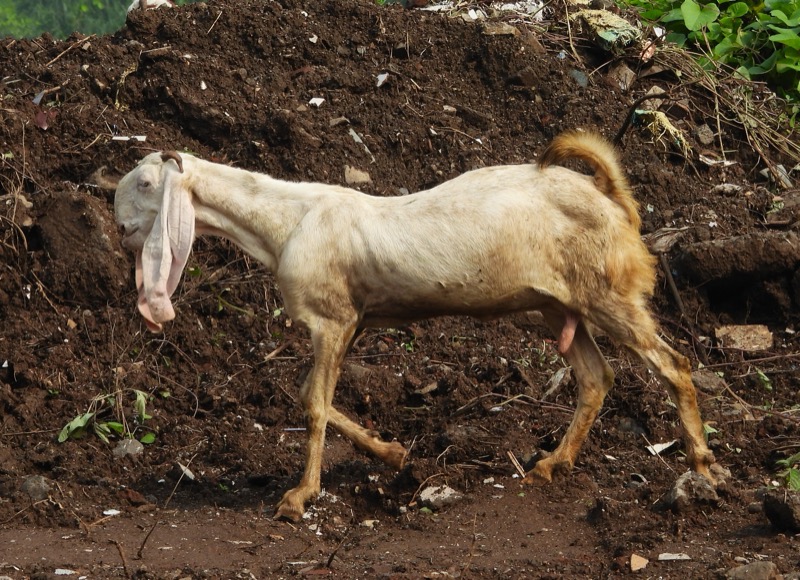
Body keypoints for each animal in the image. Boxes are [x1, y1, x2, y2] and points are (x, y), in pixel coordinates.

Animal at [114, 131, 719, 522]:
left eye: (144, 183)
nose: (119, 231)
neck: (286, 222)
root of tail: (613, 197)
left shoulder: (330, 318)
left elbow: (313, 405)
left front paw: (299, 497)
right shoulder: (353, 320)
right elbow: (312, 393)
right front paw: (394, 454)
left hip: (609, 294)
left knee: (674, 366)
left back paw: (702, 465)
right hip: (557, 305)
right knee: (596, 378)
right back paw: (552, 464)